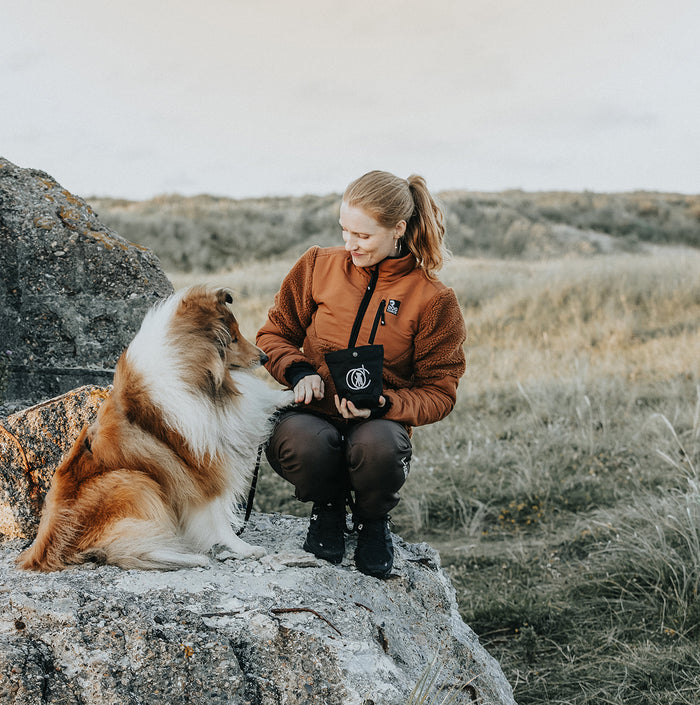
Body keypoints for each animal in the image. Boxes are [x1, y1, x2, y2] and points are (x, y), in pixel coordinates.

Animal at [16, 284, 294, 568]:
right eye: (233, 338)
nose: (264, 357)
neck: (193, 372)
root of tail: (47, 550)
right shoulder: (202, 469)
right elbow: (217, 519)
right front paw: (243, 548)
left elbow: (262, 399)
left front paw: (294, 393)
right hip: (133, 480)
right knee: (124, 548)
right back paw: (190, 557)